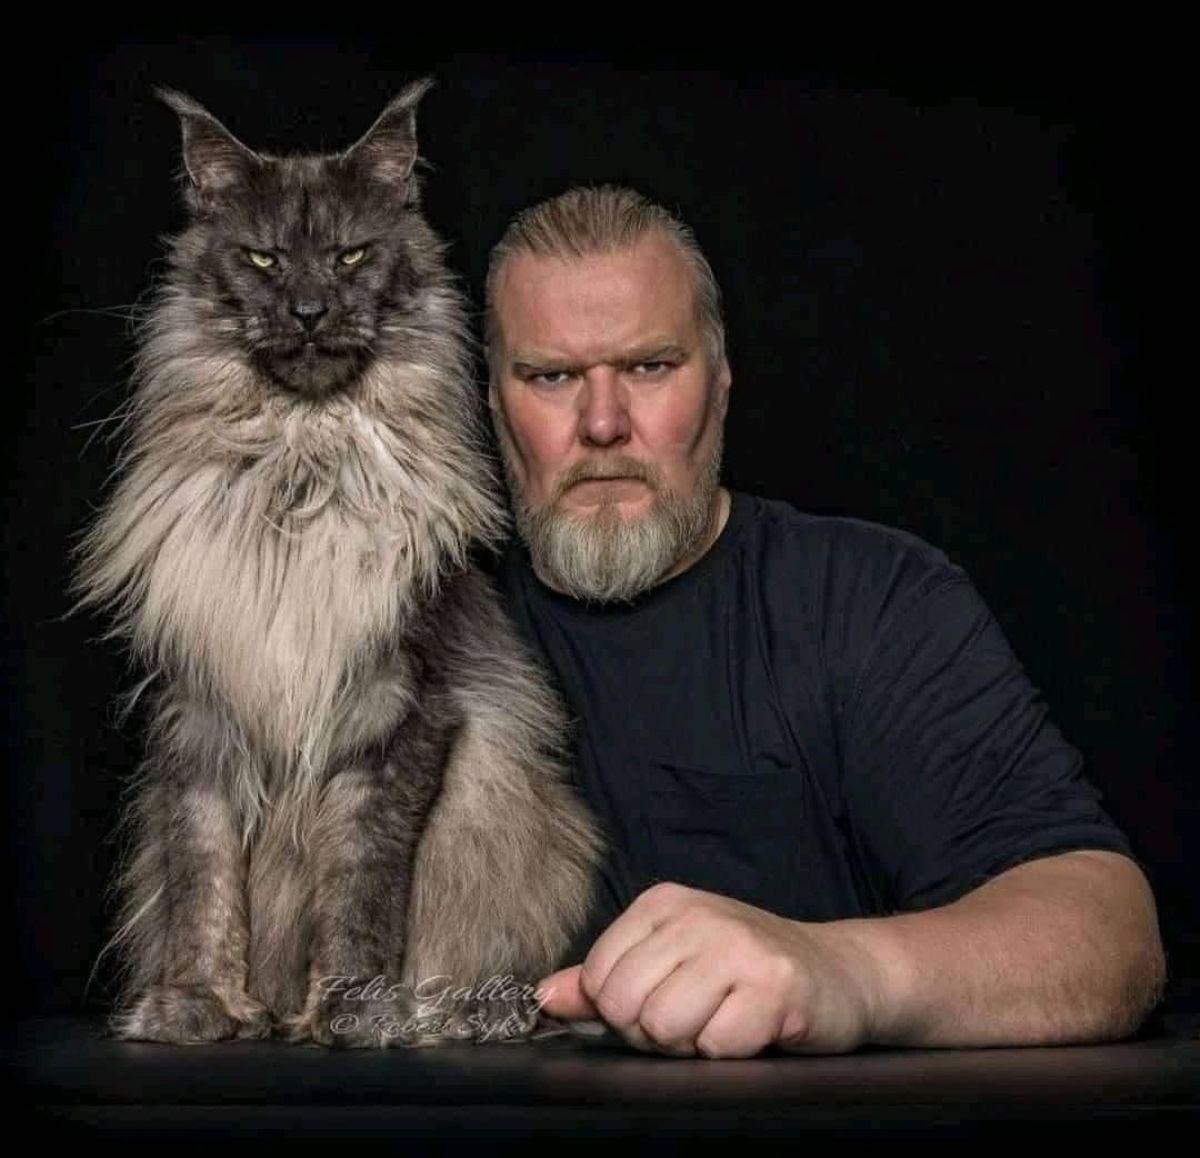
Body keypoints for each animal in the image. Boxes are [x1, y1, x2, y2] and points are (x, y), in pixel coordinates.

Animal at [68, 76, 600, 1041]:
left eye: (352, 257)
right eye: (265, 260)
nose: (310, 312)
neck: (297, 477)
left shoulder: (396, 718)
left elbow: (361, 892)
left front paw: (352, 1011)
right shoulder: (201, 714)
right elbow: (203, 885)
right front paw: (198, 1006)